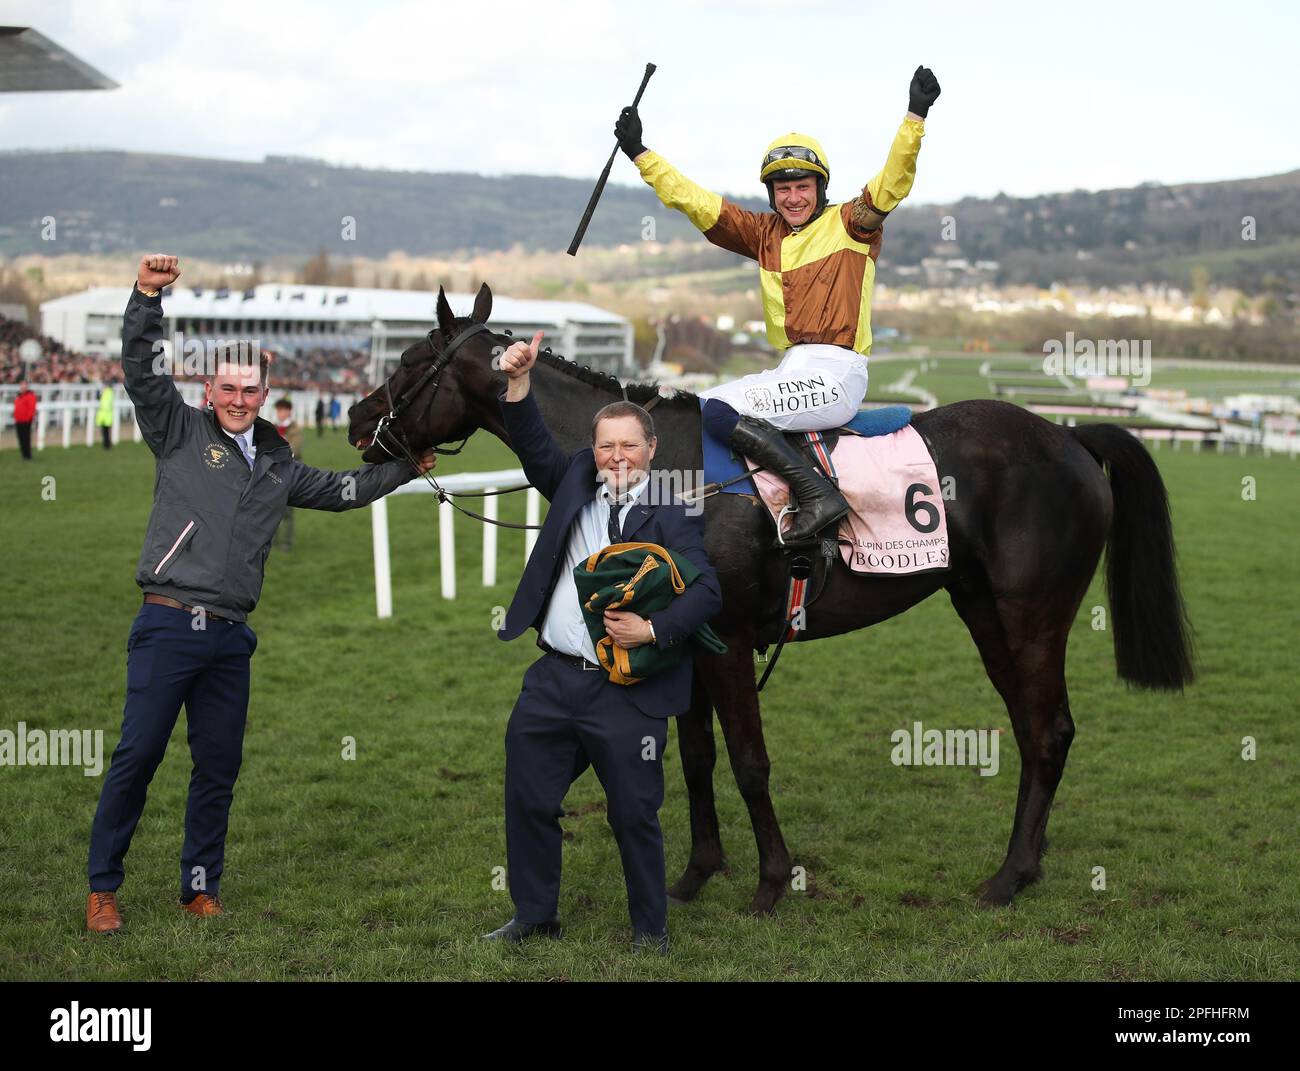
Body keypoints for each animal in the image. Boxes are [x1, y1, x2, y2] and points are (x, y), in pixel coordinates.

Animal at [351, 284, 1190, 909]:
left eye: (413, 358)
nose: (359, 417)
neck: (665, 466)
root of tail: (1070, 435)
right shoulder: (680, 641)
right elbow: (694, 756)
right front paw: (697, 872)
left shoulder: (728, 641)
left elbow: (749, 761)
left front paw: (771, 881)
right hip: (982, 609)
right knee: (1032, 726)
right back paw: (1030, 860)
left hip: (1032, 614)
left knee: (1048, 729)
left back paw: (1009, 875)